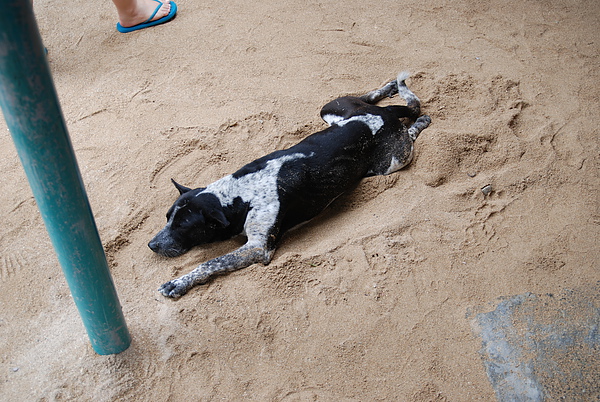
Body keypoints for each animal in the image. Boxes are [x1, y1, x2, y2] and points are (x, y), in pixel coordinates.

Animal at [150, 73, 432, 298]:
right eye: (167, 217)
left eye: (183, 225)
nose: (152, 245)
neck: (240, 195)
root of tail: (384, 115)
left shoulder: (257, 248)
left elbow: (211, 263)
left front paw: (177, 283)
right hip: (332, 107)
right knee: (374, 96)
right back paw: (390, 87)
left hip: (392, 161)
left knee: (411, 124)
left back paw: (419, 121)